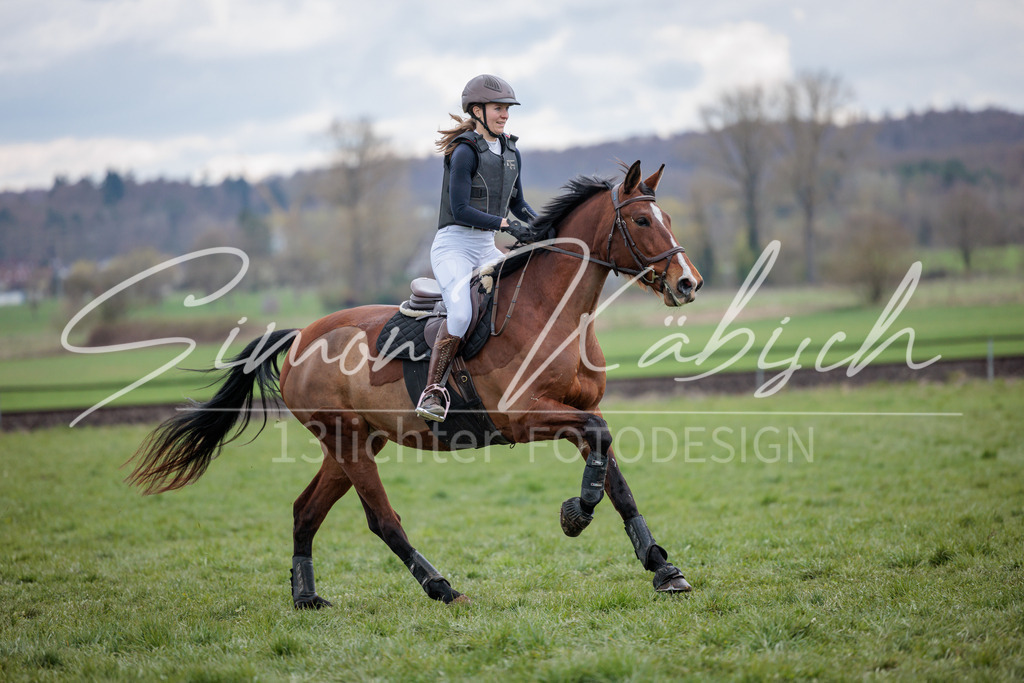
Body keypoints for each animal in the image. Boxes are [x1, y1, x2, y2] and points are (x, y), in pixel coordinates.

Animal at [127, 160, 704, 607]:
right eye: (641, 219)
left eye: (668, 218)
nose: (688, 283)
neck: (553, 313)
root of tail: (299, 338)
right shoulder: (526, 417)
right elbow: (600, 450)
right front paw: (576, 515)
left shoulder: (579, 412)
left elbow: (616, 478)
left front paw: (662, 568)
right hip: (349, 442)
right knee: (382, 520)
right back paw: (442, 588)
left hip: (356, 441)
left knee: (305, 511)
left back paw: (307, 597)